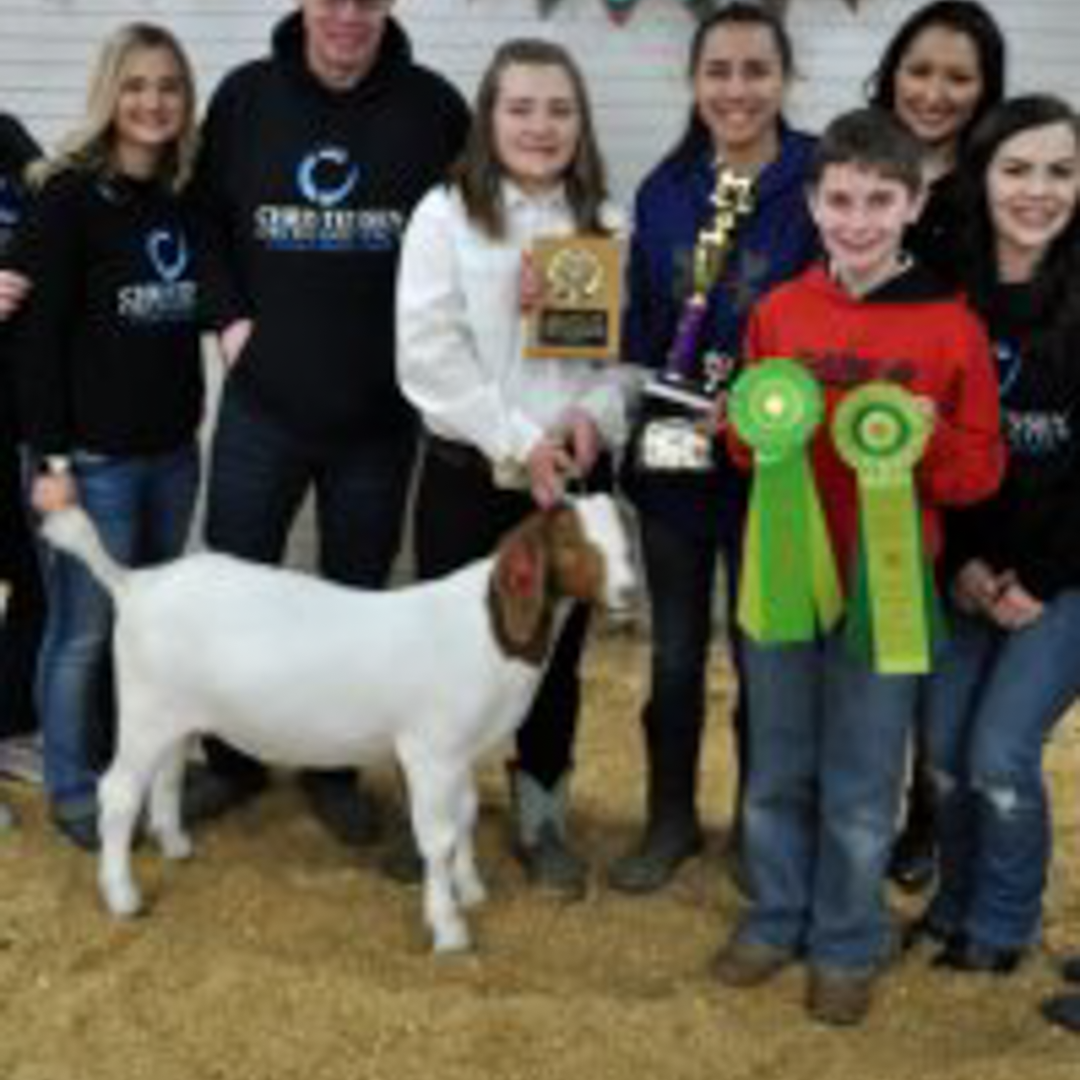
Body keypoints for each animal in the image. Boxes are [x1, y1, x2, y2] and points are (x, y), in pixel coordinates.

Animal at [39, 494, 630, 950]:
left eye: (625, 539)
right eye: (571, 544)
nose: (628, 592)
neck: (486, 632)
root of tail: (134, 584)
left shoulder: (460, 752)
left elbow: (463, 818)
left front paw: (471, 891)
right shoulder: (430, 750)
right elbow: (438, 838)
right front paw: (448, 929)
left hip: (173, 713)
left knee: (166, 773)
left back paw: (176, 844)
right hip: (143, 709)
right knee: (117, 793)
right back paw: (123, 896)